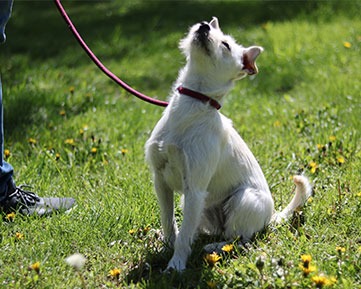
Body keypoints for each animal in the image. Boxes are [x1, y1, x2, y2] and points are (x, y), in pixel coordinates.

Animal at [145, 17, 310, 270]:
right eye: (206, 25)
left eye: (226, 45)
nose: (203, 26)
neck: (193, 103)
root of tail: (269, 217)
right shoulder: (161, 180)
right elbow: (168, 220)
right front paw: (167, 246)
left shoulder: (195, 187)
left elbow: (183, 235)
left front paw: (175, 265)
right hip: (197, 205)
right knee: (202, 229)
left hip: (244, 200)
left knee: (240, 239)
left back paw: (213, 247)